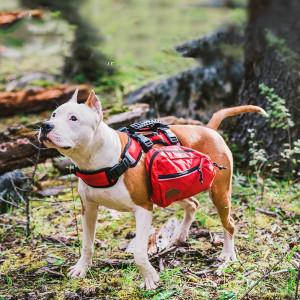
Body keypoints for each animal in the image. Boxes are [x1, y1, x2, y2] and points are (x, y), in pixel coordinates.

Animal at [38, 90, 268, 290]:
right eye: (54, 114)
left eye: (74, 118)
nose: (45, 125)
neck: (98, 160)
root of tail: (209, 129)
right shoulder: (89, 208)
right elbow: (87, 244)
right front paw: (81, 269)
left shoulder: (143, 208)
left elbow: (139, 253)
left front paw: (150, 279)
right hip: (172, 190)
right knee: (192, 204)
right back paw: (180, 235)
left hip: (219, 192)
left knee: (229, 223)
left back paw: (228, 255)